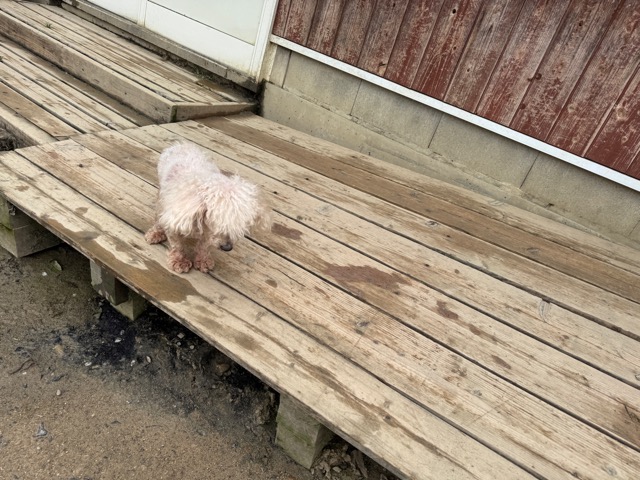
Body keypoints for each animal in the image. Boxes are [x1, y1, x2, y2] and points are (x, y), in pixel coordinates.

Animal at [145, 142, 271, 273]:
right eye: (216, 219)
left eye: (240, 222)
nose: (227, 247)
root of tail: (182, 144)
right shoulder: (173, 219)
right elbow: (177, 244)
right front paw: (179, 261)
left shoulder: (208, 233)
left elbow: (204, 245)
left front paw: (203, 260)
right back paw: (155, 233)